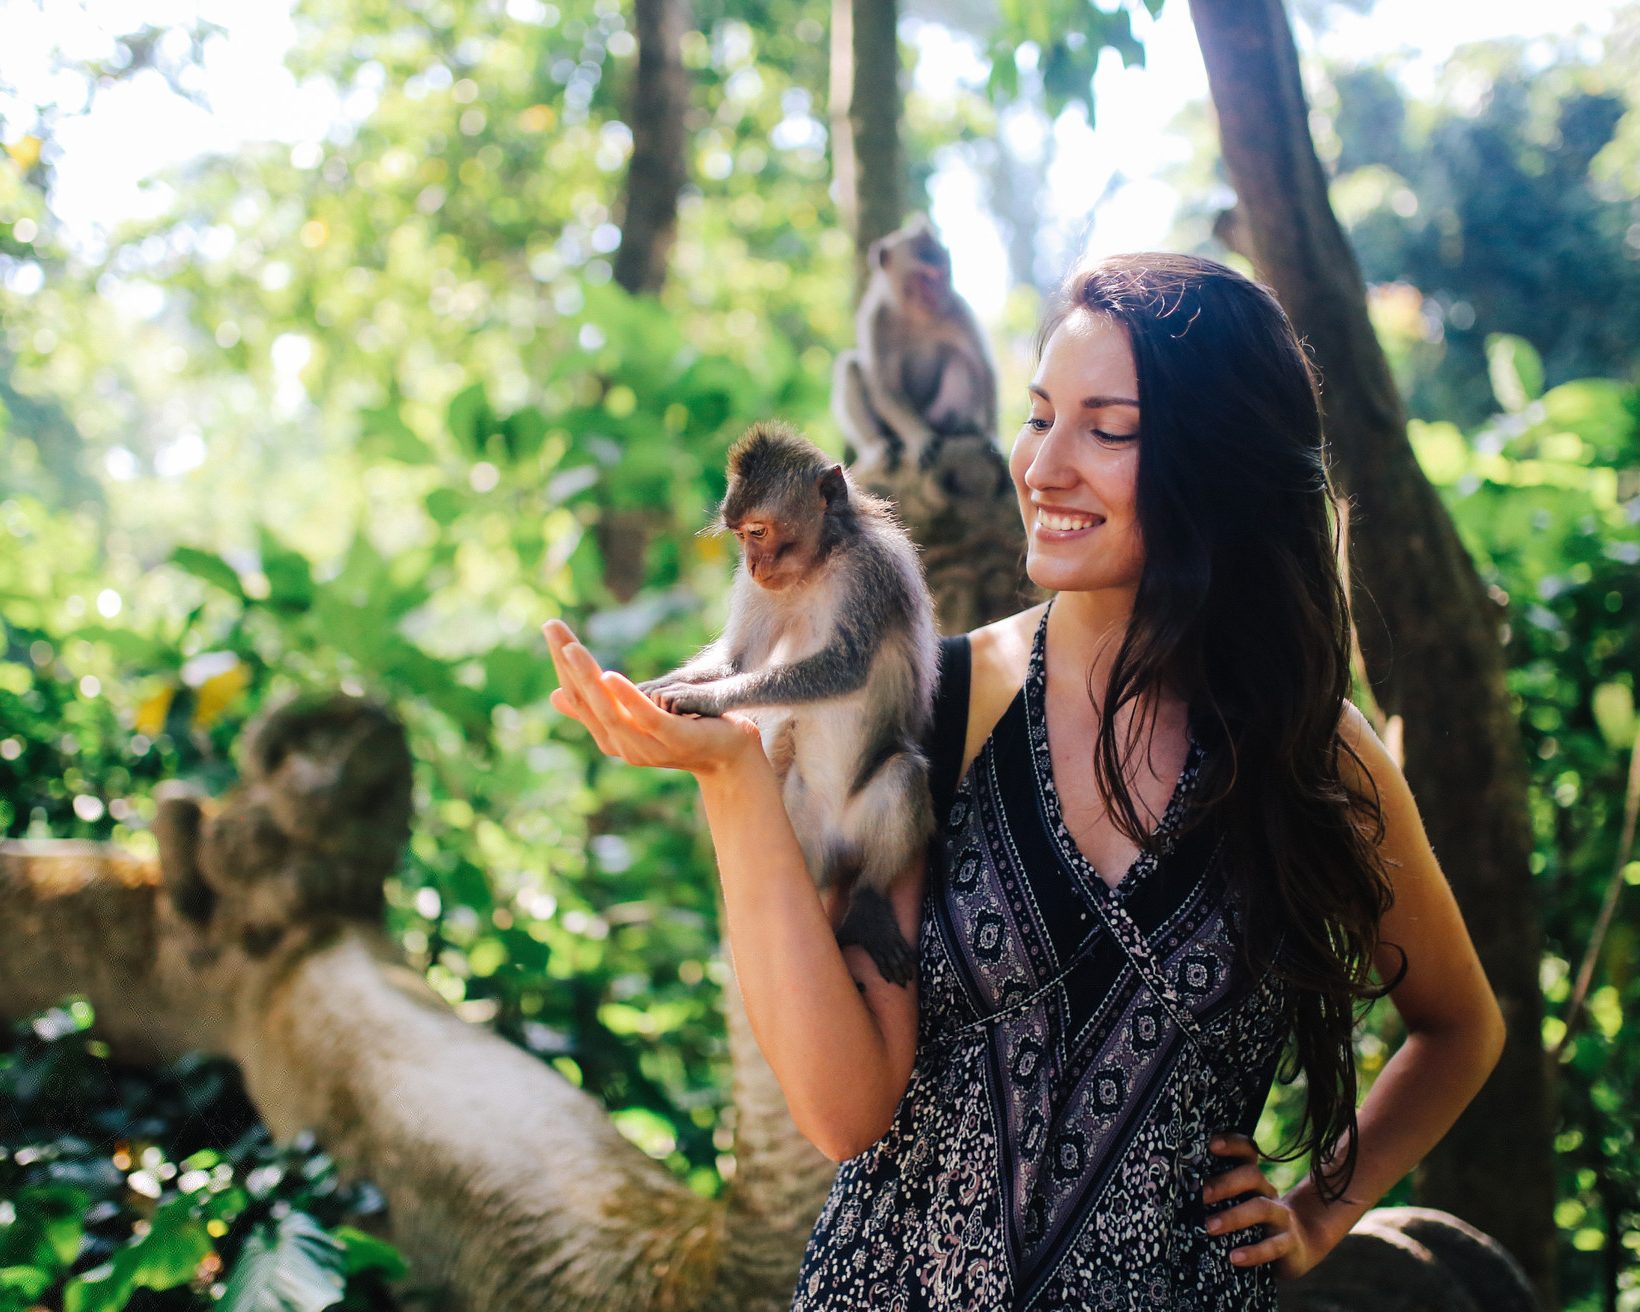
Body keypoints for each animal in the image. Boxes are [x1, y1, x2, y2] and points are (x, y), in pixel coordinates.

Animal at [642, 419, 944, 984]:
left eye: (759, 531)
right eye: (740, 536)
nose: (752, 563)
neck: (819, 564)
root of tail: (835, 846)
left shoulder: (870, 571)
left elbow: (845, 666)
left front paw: (704, 698)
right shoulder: (760, 590)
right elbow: (738, 659)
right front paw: (662, 685)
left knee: (902, 775)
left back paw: (868, 905)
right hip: (798, 827)